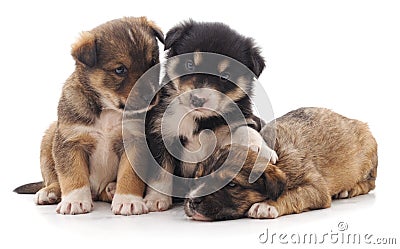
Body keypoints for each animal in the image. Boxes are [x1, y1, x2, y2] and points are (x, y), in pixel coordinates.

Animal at [13, 17, 164, 216]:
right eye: (120, 70)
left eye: (153, 62)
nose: (152, 98)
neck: (108, 110)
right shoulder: (70, 141)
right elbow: (72, 175)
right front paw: (75, 201)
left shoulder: (134, 142)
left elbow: (129, 175)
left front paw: (128, 200)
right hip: (49, 137)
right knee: (54, 178)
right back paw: (49, 192)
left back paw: (112, 189)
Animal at [139, 20, 276, 211]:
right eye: (189, 65)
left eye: (225, 76)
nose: (197, 99)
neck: (198, 119)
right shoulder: (160, 133)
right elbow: (161, 173)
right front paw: (156, 200)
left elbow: (245, 129)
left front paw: (262, 149)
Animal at [184, 108, 378, 221]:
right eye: (197, 178)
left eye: (232, 185)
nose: (192, 201)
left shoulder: (316, 188)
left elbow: (294, 194)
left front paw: (267, 205)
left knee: (369, 183)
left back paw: (348, 190)